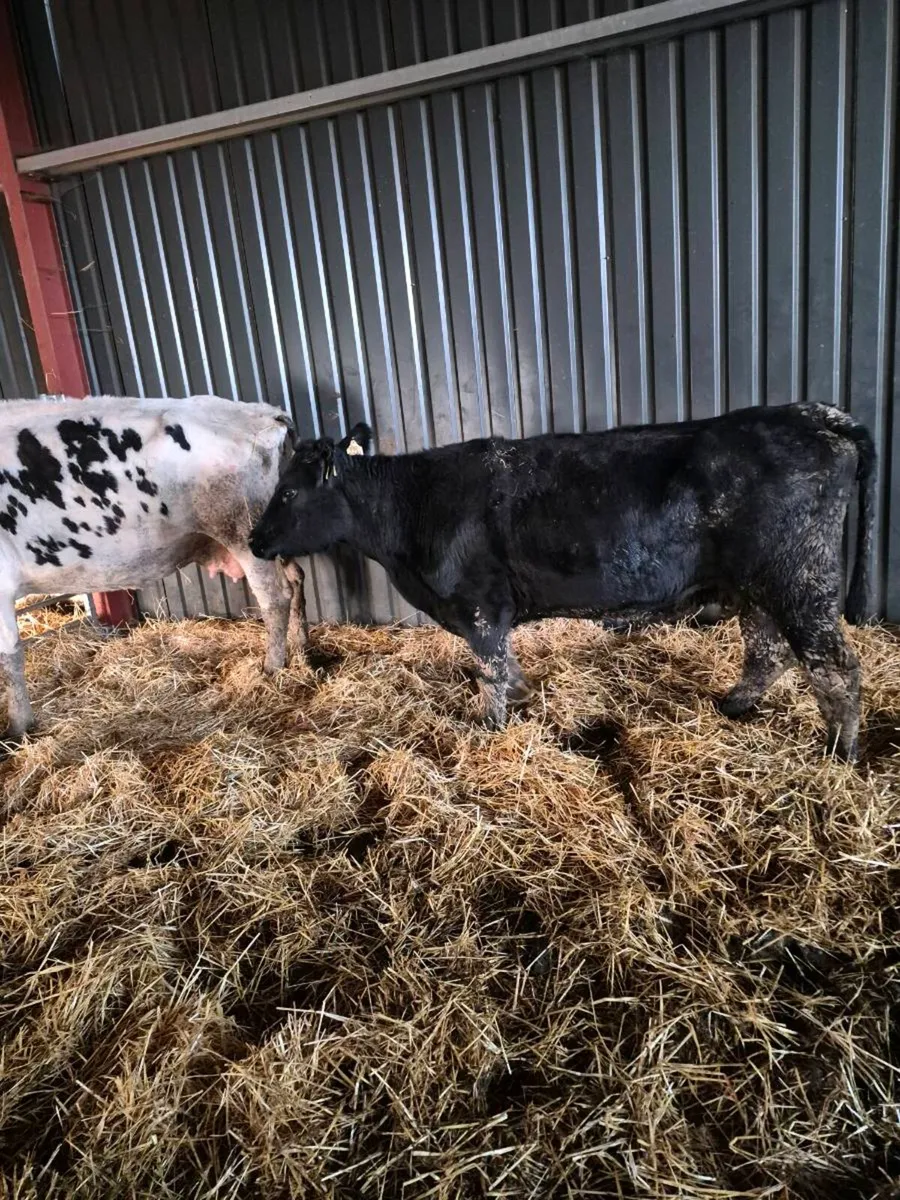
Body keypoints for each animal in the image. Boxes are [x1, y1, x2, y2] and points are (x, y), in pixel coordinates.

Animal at [1, 394, 306, 739]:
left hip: (243, 532)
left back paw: (272, 667)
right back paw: (301, 646)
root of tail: (263, 412)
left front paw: (18, 726)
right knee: (296, 579)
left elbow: (10, 655)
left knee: (276, 598)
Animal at [249, 403, 876, 762]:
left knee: (835, 666)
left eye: (289, 491)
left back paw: (839, 752)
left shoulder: (479, 607)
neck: (414, 509)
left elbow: (489, 670)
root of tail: (817, 413)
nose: (254, 541)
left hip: (800, 579)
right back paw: (735, 707)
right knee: (767, 649)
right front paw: (522, 699)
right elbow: (505, 668)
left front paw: (492, 729)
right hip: (759, 586)